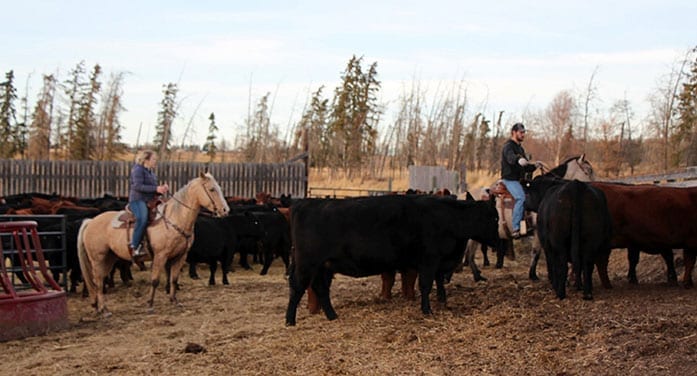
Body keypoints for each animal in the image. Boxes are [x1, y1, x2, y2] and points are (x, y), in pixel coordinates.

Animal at [284, 194, 500, 326]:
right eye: (495, 218)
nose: (499, 241)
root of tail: (305, 203)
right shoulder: (429, 260)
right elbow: (426, 285)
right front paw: (427, 310)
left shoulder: (440, 262)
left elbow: (439, 282)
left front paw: (442, 302)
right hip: (307, 263)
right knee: (297, 287)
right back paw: (290, 320)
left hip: (325, 266)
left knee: (320, 288)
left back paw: (332, 316)